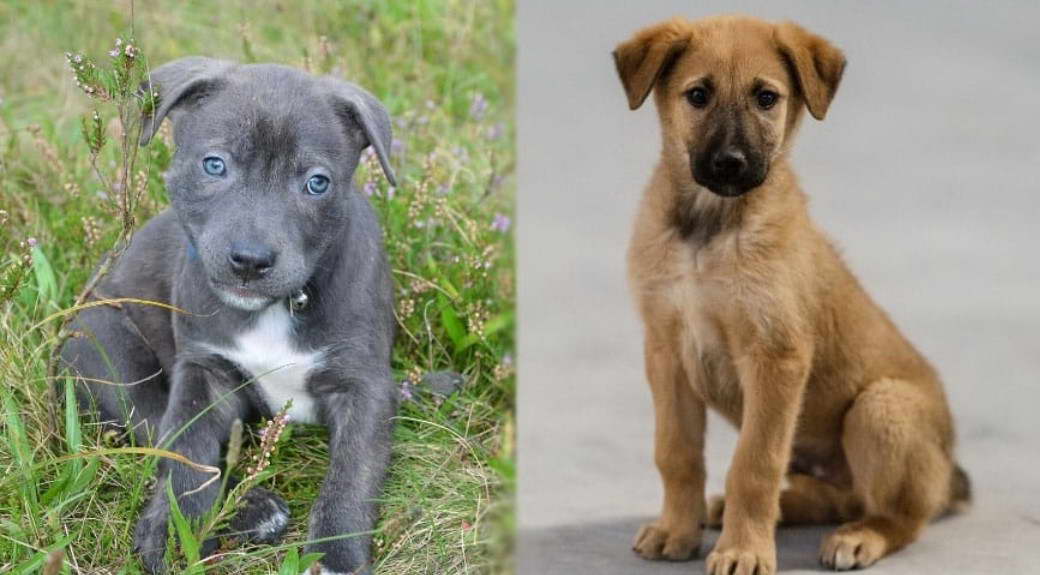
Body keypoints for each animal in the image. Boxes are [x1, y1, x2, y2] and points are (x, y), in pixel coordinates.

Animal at [60, 54, 399, 573]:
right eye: (214, 165)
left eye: (317, 183)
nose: (251, 260)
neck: (276, 309)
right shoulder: (204, 371)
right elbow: (187, 447)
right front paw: (175, 529)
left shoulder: (364, 385)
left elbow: (352, 472)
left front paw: (335, 552)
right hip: (102, 343)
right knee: (152, 426)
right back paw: (253, 509)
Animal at [611, 15, 969, 569]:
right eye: (697, 95)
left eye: (766, 97)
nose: (731, 163)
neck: (709, 233)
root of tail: (948, 473)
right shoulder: (666, 350)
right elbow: (676, 453)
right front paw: (677, 529)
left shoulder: (775, 357)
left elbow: (754, 465)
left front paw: (743, 550)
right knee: (837, 496)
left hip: (881, 407)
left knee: (900, 515)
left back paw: (860, 537)